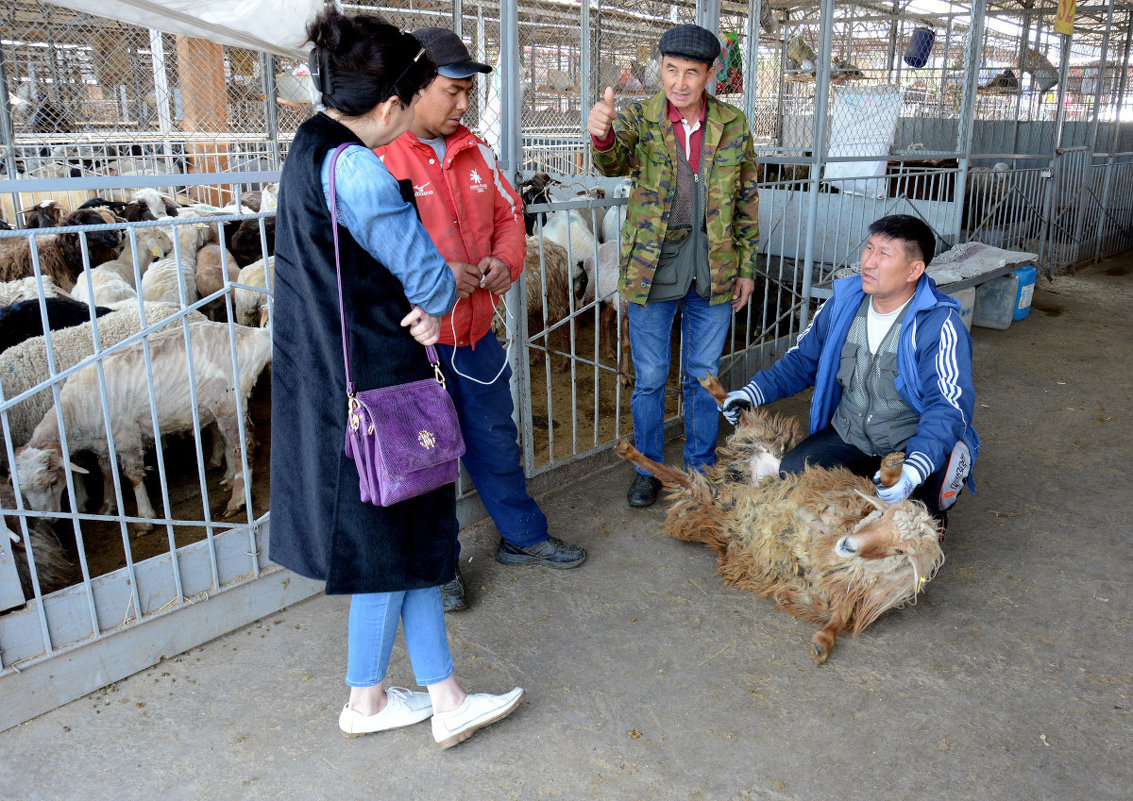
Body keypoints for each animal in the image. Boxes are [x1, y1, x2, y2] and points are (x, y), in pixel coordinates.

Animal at [13, 319, 271, 532]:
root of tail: (255, 337)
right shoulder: (104, 443)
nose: (47, 520)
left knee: (243, 446)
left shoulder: (126, 437)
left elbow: (133, 476)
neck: (75, 411)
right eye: (23, 493)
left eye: (53, 482)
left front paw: (144, 519)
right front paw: (107, 507)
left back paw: (237, 500)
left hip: (227, 401)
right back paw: (230, 479)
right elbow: (107, 472)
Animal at [616, 378, 942, 666]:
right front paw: (892, 469)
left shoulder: (830, 592)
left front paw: (822, 644)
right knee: (742, 418)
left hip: (717, 500)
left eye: (900, 551)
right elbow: (876, 488)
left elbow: (838, 618)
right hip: (757, 452)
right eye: (880, 515)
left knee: (687, 474)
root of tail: (738, 478)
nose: (848, 544)